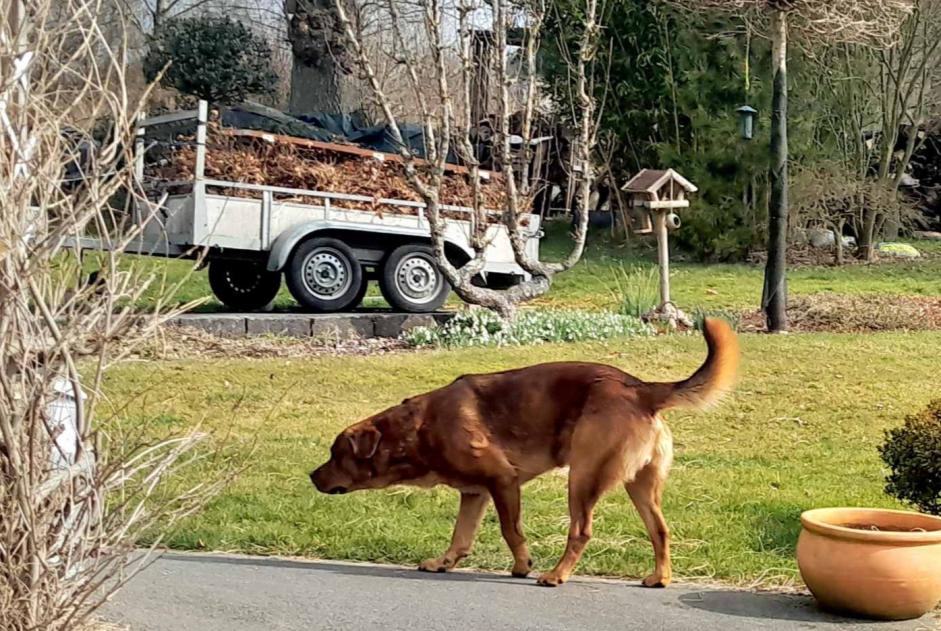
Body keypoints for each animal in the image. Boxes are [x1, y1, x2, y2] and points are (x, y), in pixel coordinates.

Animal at [312, 318, 740, 592]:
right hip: (640, 486)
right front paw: (443, 563)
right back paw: (660, 577)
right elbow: (460, 537)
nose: (311, 476)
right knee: (660, 531)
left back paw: (555, 575)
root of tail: (641, 388)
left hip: (582, 477)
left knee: (581, 531)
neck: (416, 432)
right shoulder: (473, 493)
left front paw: (522, 566)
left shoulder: (503, 481)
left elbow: (510, 530)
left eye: (335, 454)